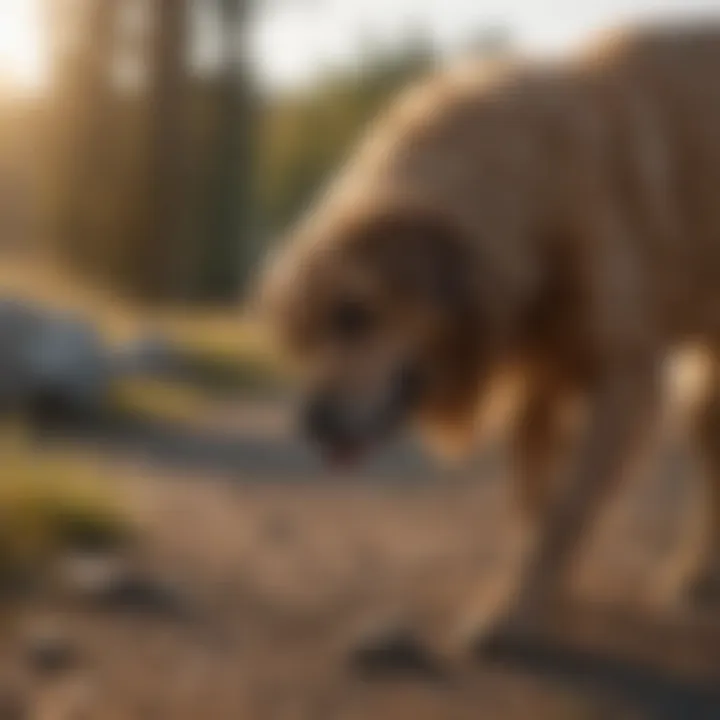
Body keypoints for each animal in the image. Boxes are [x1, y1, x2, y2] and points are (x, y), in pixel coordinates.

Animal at [258, 23, 720, 612]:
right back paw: (697, 575)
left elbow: (566, 510)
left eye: (353, 314)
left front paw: (512, 612)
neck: (533, 194)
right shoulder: (540, 381)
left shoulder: (625, 377)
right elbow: (535, 501)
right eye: (302, 337)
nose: (310, 424)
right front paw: (538, 593)